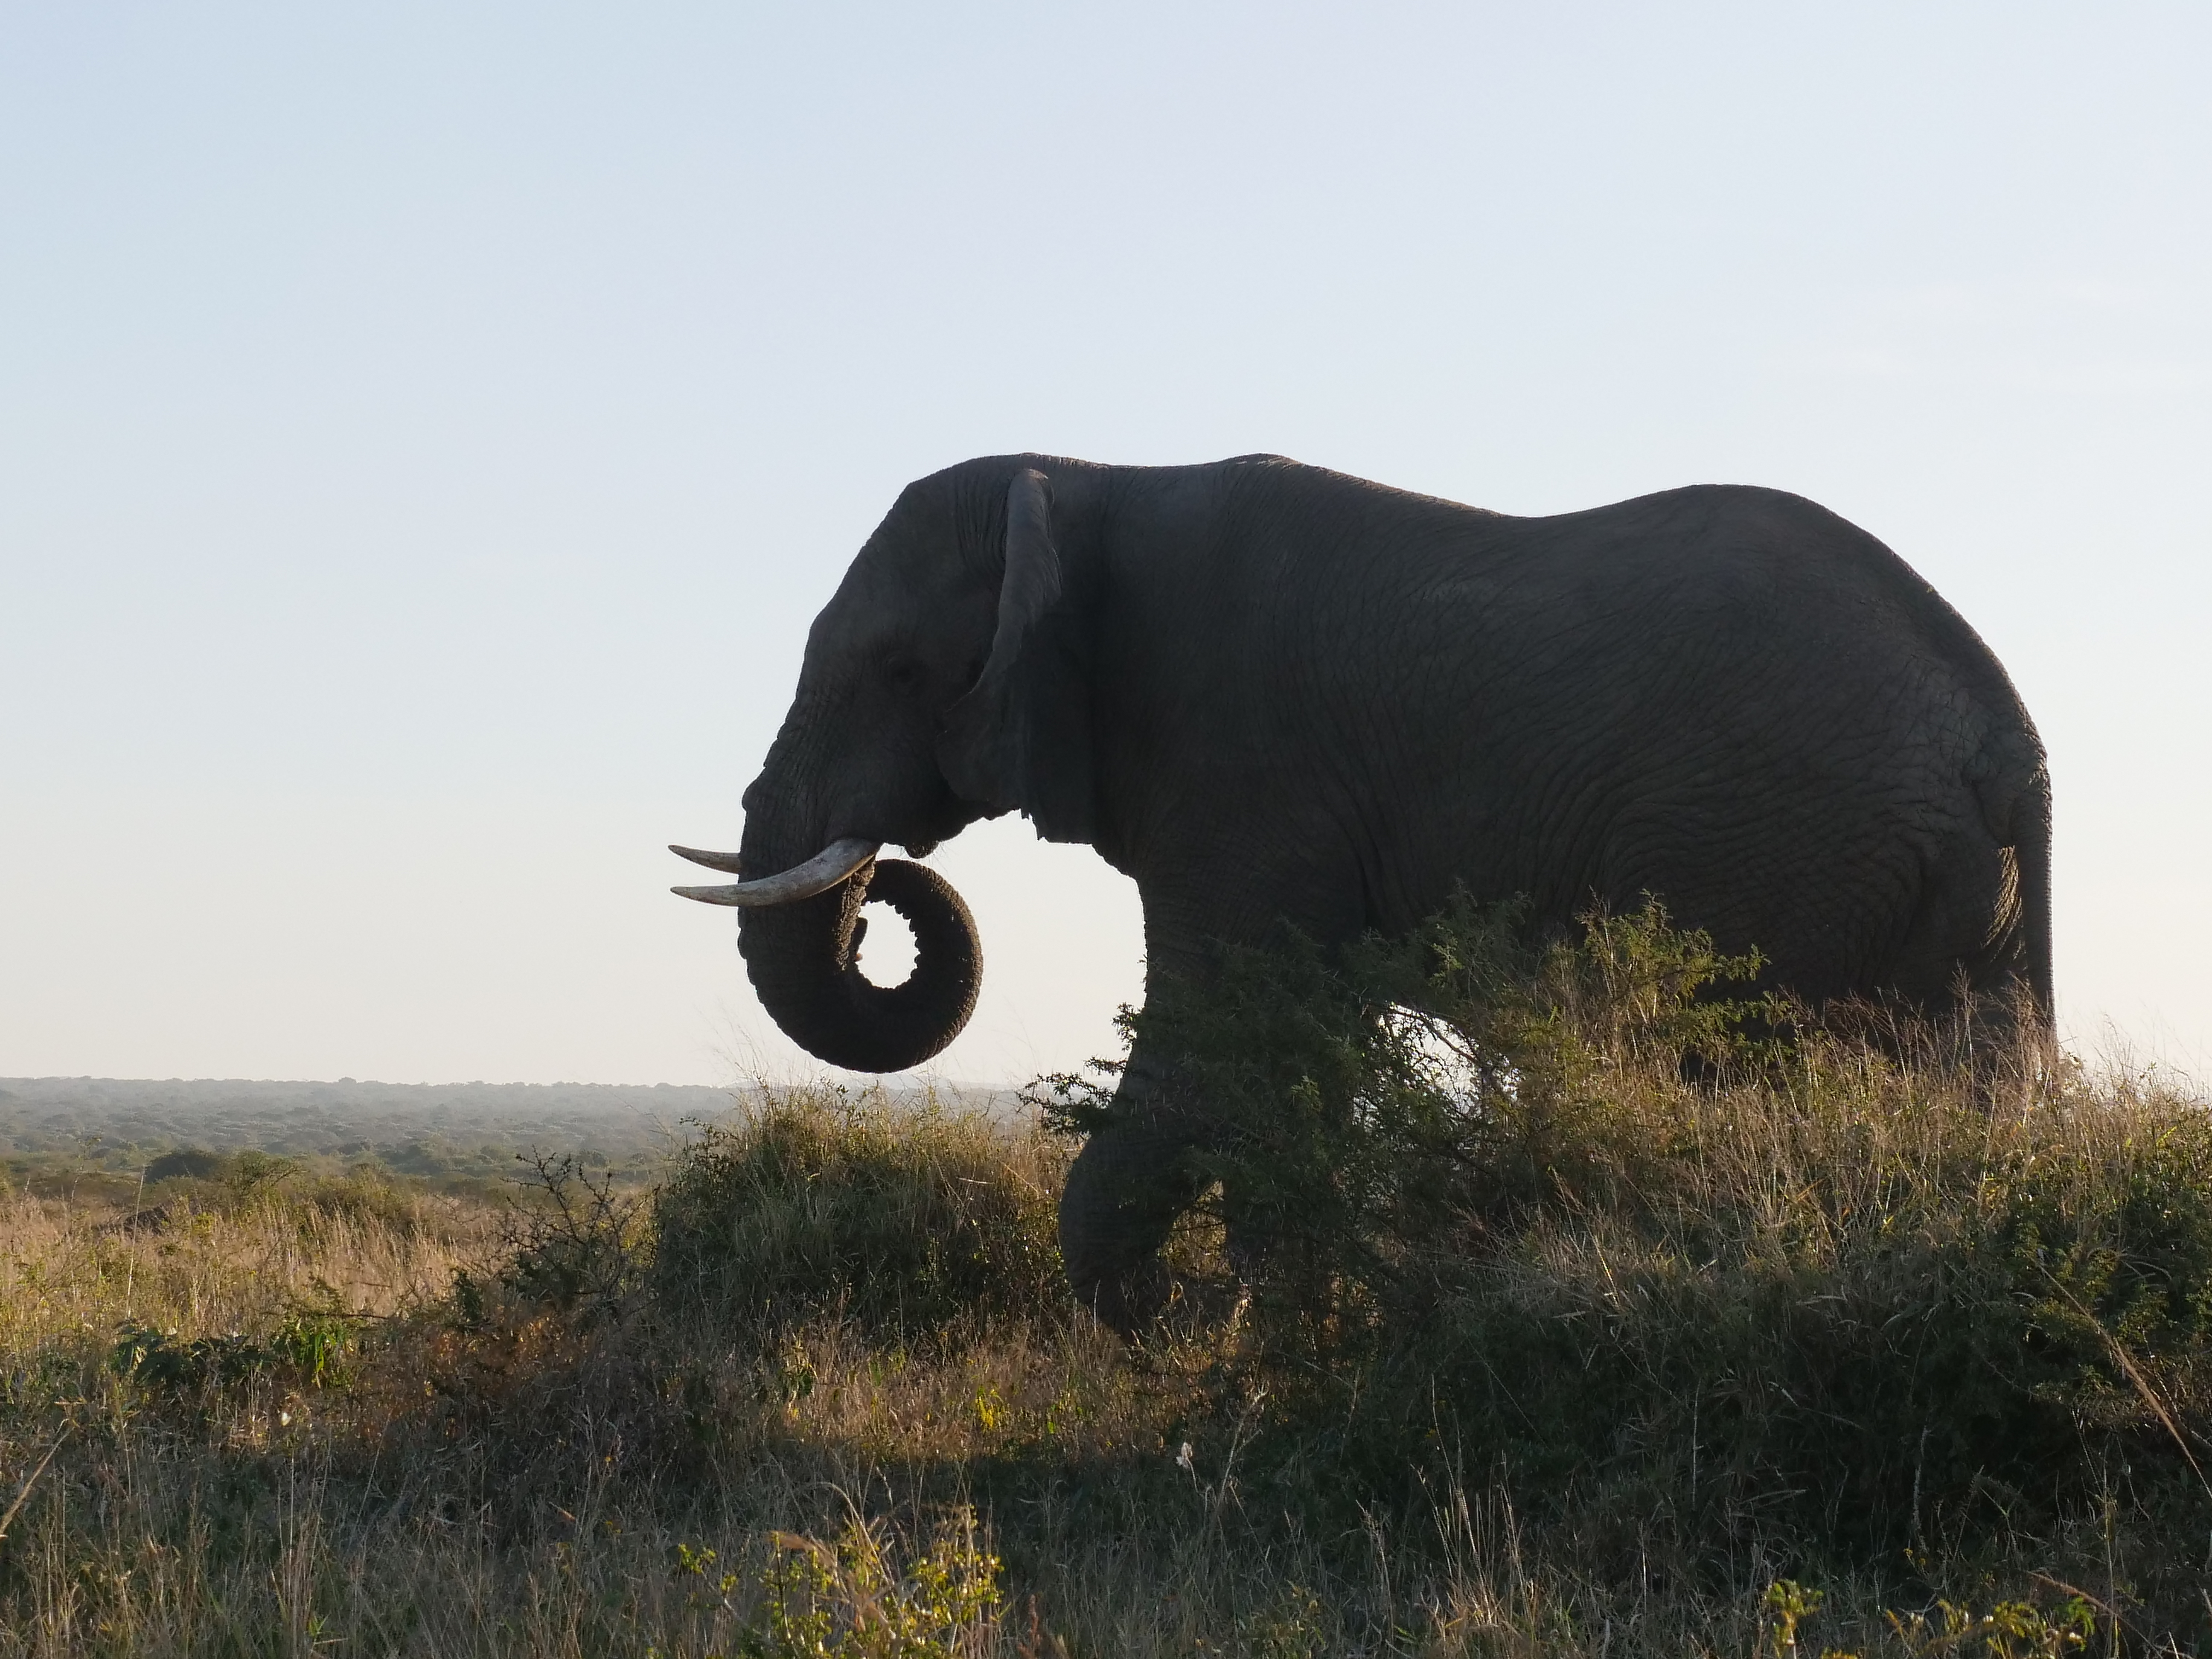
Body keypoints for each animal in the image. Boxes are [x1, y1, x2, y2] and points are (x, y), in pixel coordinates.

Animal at [672, 453, 2051, 1330]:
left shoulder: (1243, 764)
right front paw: (1271, 1322)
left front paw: (1206, 1329)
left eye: (899, 670)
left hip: (1762, 850)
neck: (1084, 481)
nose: (881, 889)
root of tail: (1999, 741)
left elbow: (1212, 1041)